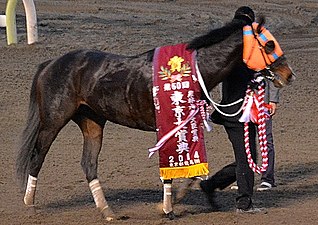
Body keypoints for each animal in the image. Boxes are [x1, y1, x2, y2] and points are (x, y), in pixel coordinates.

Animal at [16, 10, 296, 220]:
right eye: (269, 44)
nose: (289, 74)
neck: (190, 71)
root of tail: (51, 64)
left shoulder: (183, 124)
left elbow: (188, 167)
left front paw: (174, 201)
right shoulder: (169, 124)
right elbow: (174, 168)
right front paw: (168, 206)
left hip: (92, 121)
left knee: (89, 164)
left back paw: (108, 212)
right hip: (53, 120)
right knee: (37, 157)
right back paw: (29, 205)